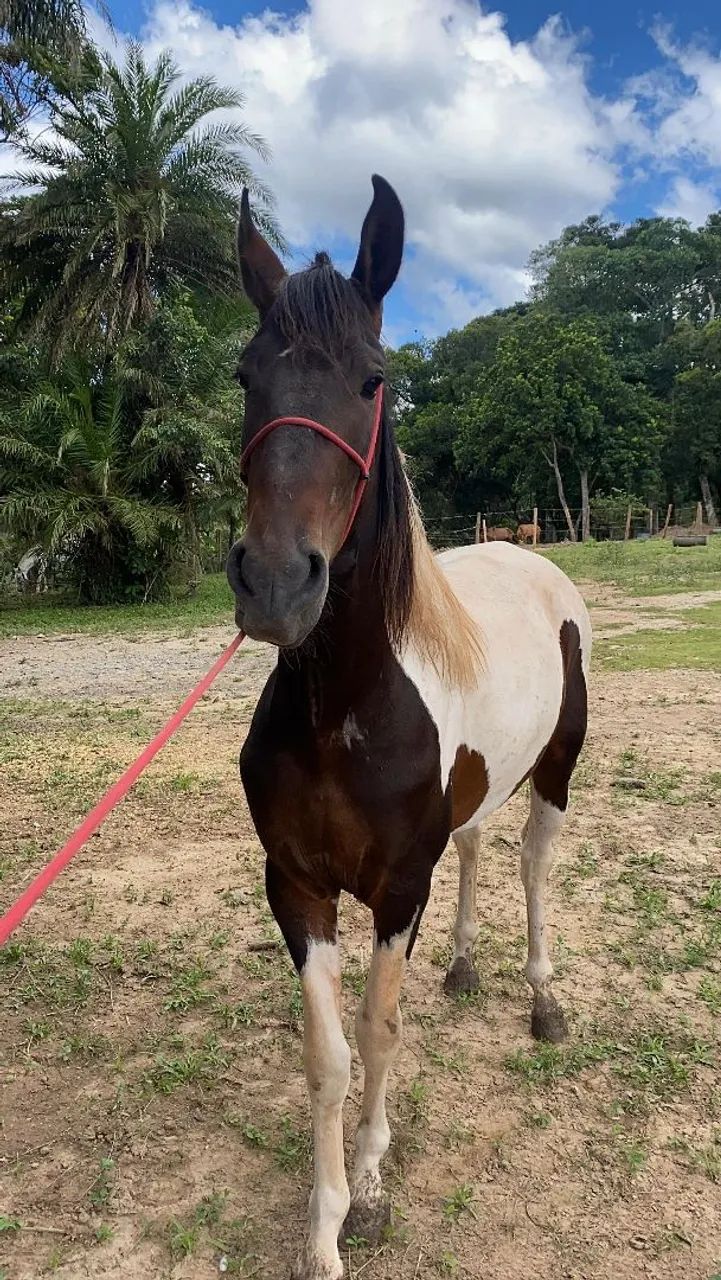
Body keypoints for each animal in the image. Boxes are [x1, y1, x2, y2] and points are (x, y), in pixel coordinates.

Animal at [228, 175, 591, 1280]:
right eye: (245, 371)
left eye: (372, 377)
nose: (274, 583)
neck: (347, 710)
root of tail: (529, 556)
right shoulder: (298, 888)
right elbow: (328, 1056)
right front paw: (322, 1228)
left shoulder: (395, 891)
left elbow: (381, 1034)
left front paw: (374, 1192)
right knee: (474, 846)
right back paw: (469, 963)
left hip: (557, 771)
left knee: (530, 864)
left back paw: (540, 998)